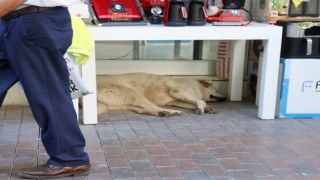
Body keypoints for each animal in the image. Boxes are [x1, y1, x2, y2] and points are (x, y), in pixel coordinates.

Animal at [96, 73, 226, 116]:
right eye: (217, 90)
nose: (225, 98)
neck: (198, 86)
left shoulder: (175, 100)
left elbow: (193, 103)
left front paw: (208, 108)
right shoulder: (177, 91)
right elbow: (201, 101)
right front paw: (202, 108)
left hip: (125, 102)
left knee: (142, 110)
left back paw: (163, 112)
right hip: (133, 93)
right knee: (151, 106)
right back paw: (171, 112)